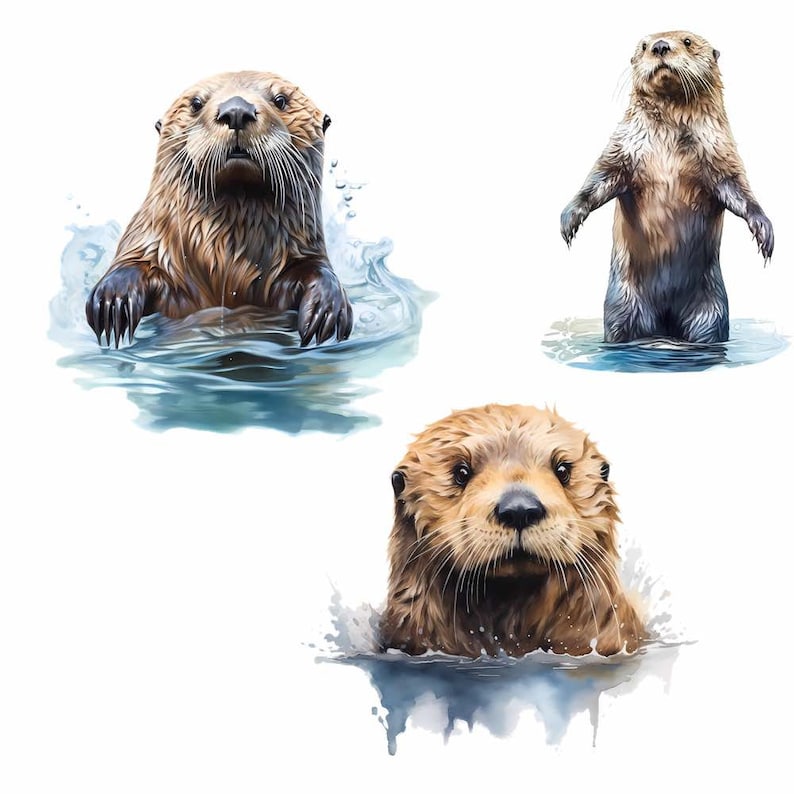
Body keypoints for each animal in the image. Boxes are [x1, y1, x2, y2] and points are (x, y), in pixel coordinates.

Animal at [86, 71, 352, 347]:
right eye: (196, 103)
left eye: (280, 100)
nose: (236, 111)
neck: (227, 259)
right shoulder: (153, 243)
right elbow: (132, 264)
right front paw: (114, 299)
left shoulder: (303, 250)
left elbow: (317, 269)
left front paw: (326, 306)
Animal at [561, 31, 774, 344]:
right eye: (644, 45)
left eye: (687, 41)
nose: (661, 46)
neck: (669, 143)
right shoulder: (623, 147)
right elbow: (599, 180)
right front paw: (570, 218)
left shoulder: (720, 154)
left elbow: (738, 191)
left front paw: (763, 228)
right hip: (622, 304)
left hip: (710, 310)